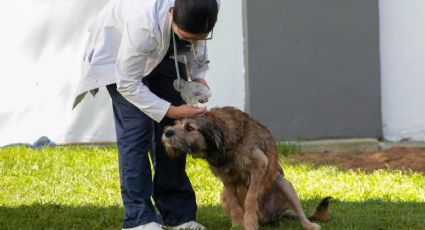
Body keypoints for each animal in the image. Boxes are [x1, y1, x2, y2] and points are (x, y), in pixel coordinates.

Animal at [162, 107, 332, 229]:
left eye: (190, 128)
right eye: (176, 123)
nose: (167, 132)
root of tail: (273, 216)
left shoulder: (259, 165)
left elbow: (250, 198)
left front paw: (249, 222)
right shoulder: (226, 179)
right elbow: (236, 203)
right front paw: (238, 225)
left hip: (285, 184)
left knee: (302, 215)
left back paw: (310, 225)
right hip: (223, 195)